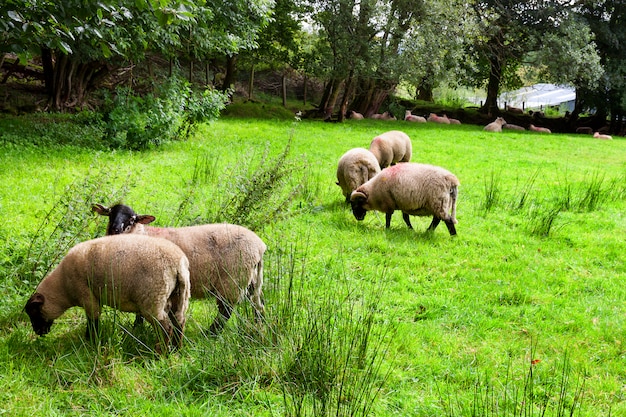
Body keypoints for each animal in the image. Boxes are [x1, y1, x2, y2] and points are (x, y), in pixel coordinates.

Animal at [23, 234, 189, 354]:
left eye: (34, 312)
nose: (38, 332)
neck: (63, 288)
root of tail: (177, 263)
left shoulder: (87, 295)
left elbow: (93, 320)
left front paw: (90, 341)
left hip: (153, 299)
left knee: (166, 328)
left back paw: (160, 354)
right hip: (179, 295)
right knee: (179, 322)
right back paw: (176, 350)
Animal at [92, 203, 266, 334]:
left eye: (133, 219)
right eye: (110, 214)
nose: (116, 229)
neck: (140, 233)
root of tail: (260, 246)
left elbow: (140, 312)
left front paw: (137, 329)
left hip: (232, 280)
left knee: (226, 310)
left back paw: (210, 334)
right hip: (251, 279)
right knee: (258, 304)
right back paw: (260, 327)